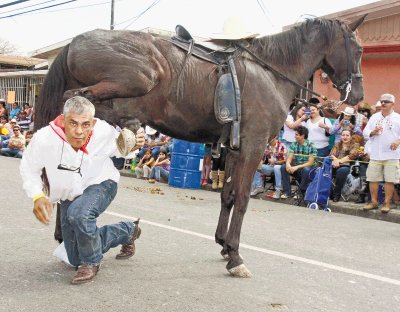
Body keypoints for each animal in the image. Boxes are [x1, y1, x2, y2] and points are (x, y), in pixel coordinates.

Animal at [34, 15, 366, 276]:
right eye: (359, 49)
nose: (359, 95)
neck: (269, 73)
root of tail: (75, 43)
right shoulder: (253, 146)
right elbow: (242, 199)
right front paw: (235, 256)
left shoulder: (233, 149)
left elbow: (228, 196)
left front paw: (223, 244)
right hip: (139, 78)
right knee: (75, 101)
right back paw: (127, 127)